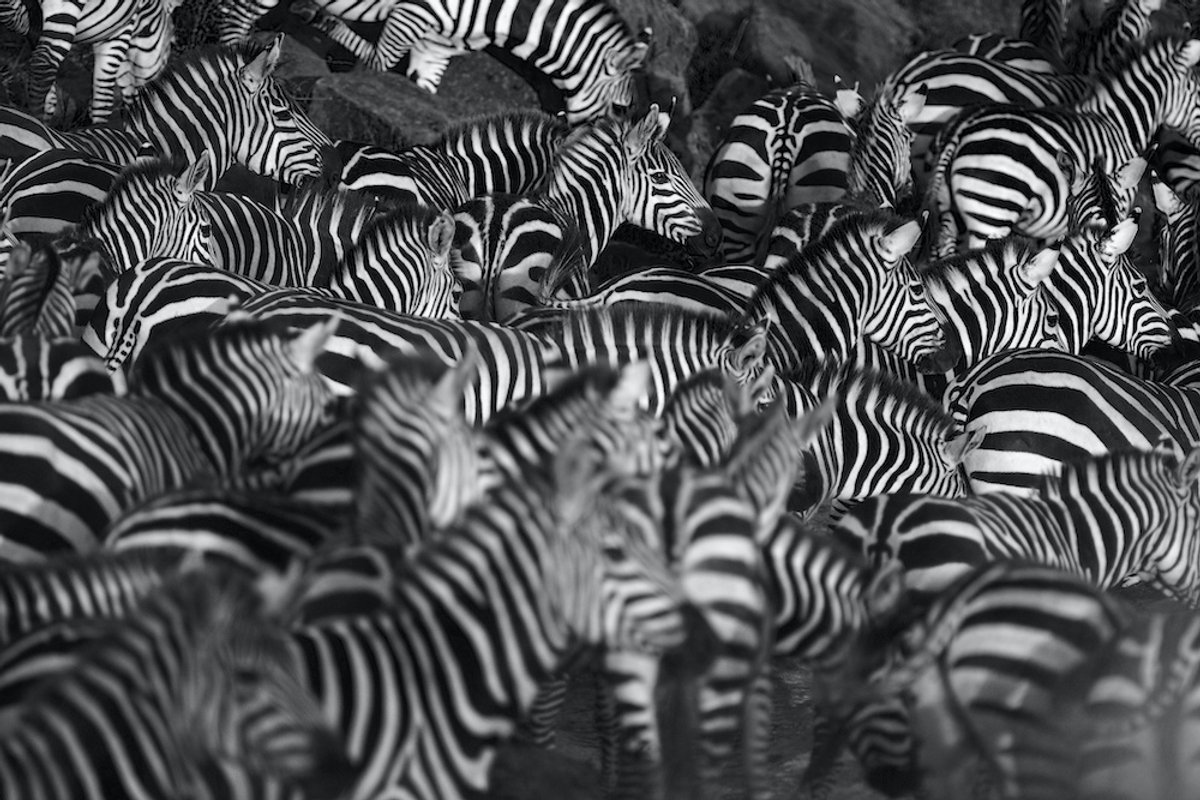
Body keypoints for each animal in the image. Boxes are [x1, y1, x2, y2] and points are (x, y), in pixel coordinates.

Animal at [929, 38, 1200, 251]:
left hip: (951, 213)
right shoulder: (1117, 202)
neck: (1118, 124)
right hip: (990, 214)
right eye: (1199, 97)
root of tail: (963, 127)